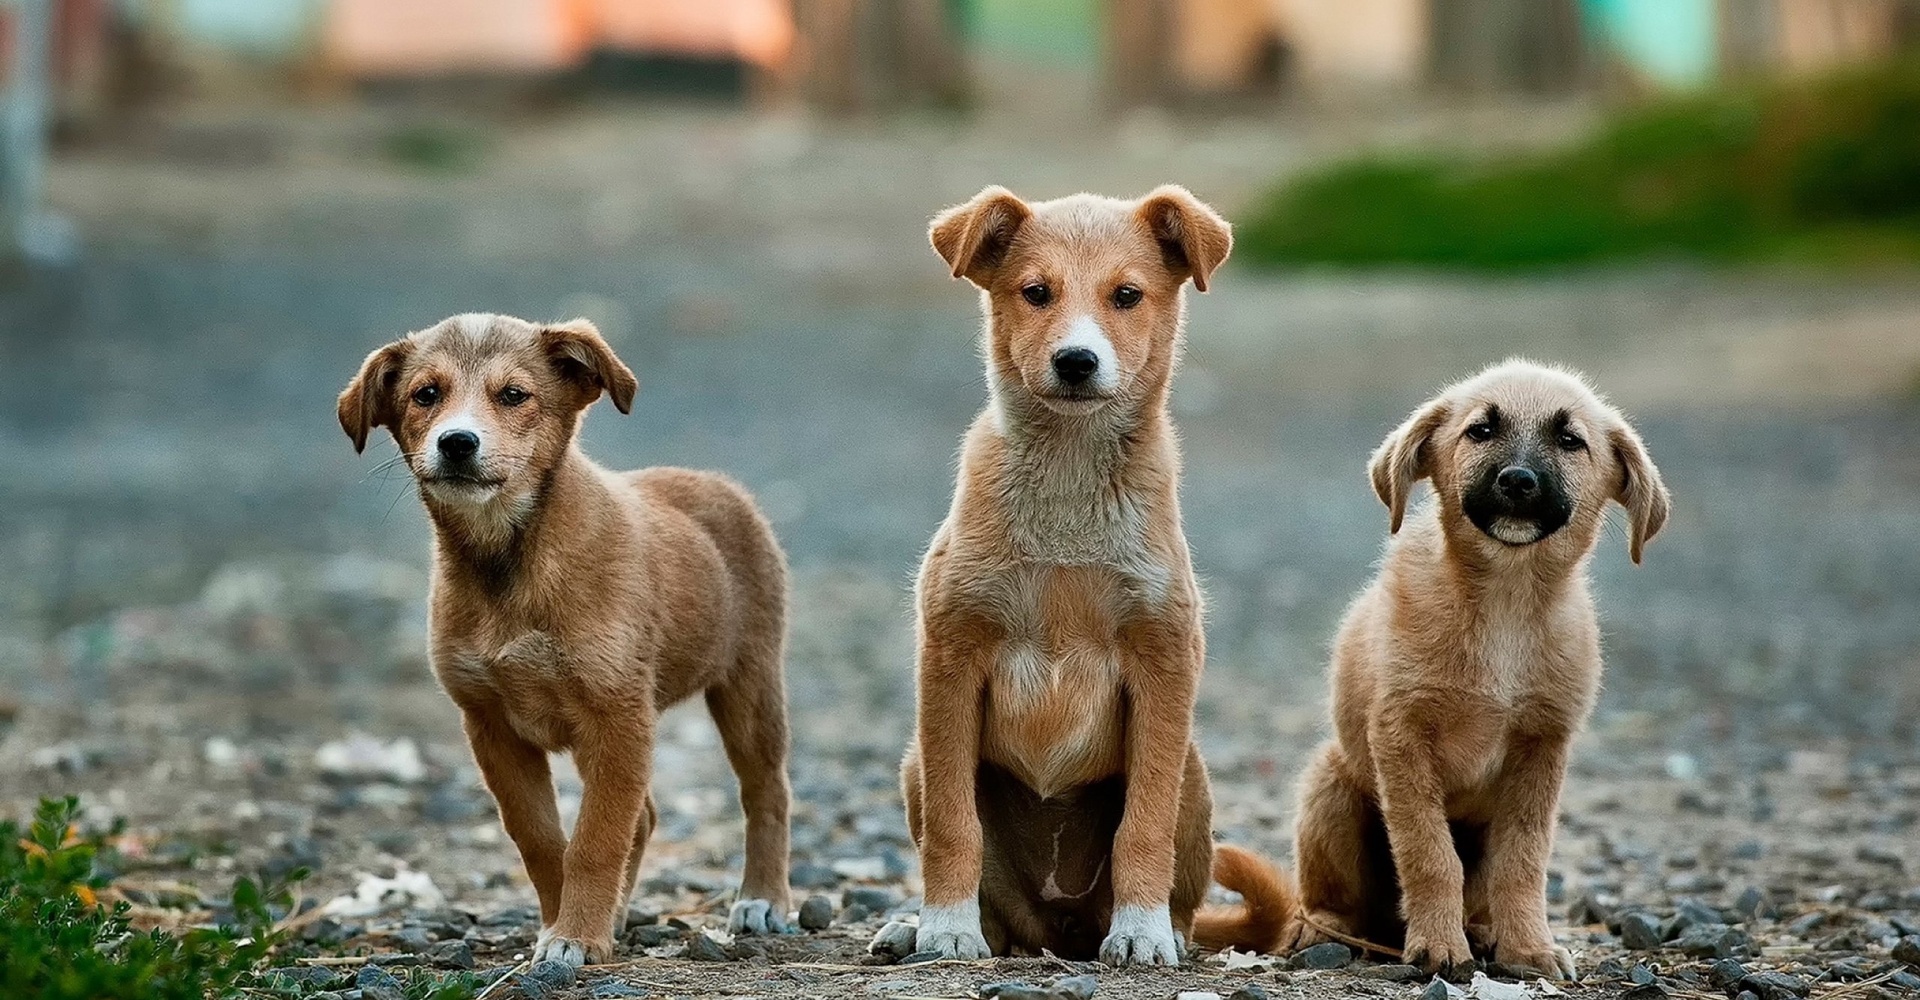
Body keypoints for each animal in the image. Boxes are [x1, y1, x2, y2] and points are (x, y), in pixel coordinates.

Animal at [871, 185, 1228, 967]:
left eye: (1127, 295)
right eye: (1036, 293)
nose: (1075, 361)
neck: (1068, 480)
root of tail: (1058, 929)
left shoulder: (1164, 660)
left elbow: (1143, 824)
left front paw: (1142, 931)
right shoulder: (951, 656)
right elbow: (954, 824)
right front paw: (944, 926)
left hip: (1193, 772)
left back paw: (1163, 930)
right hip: (915, 762)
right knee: (990, 895)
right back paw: (920, 924)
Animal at [1198, 357, 1666, 975]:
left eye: (1571, 440)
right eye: (1481, 430)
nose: (1518, 480)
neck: (1505, 602)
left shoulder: (1542, 748)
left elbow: (1522, 862)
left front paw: (1528, 947)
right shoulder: (1401, 736)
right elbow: (1429, 853)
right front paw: (1440, 946)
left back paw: (1484, 931)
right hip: (1331, 785)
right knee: (1325, 899)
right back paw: (1326, 929)